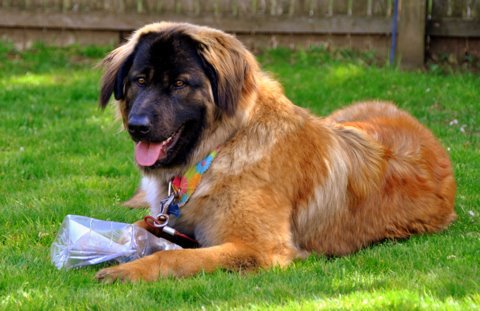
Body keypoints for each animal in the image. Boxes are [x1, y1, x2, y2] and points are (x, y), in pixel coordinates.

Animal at [95, 22, 456, 282]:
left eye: (180, 84)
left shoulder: (259, 248)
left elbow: (174, 255)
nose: (137, 127)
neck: (222, 148)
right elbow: (137, 229)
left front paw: (129, 269)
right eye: (140, 80)